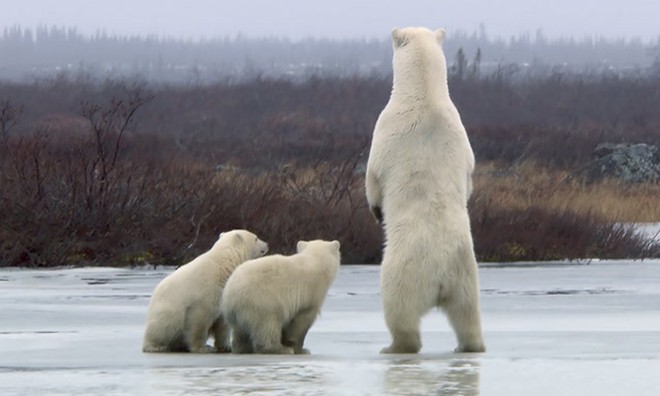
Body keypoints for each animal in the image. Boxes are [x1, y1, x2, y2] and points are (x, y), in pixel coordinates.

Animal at [366, 27, 484, 352]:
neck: (425, 95)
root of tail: (440, 278)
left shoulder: (385, 127)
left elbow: (373, 176)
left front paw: (377, 211)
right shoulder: (463, 138)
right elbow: (468, 179)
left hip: (403, 271)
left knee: (399, 311)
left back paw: (393, 345)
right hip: (467, 275)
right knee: (468, 316)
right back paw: (469, 345)